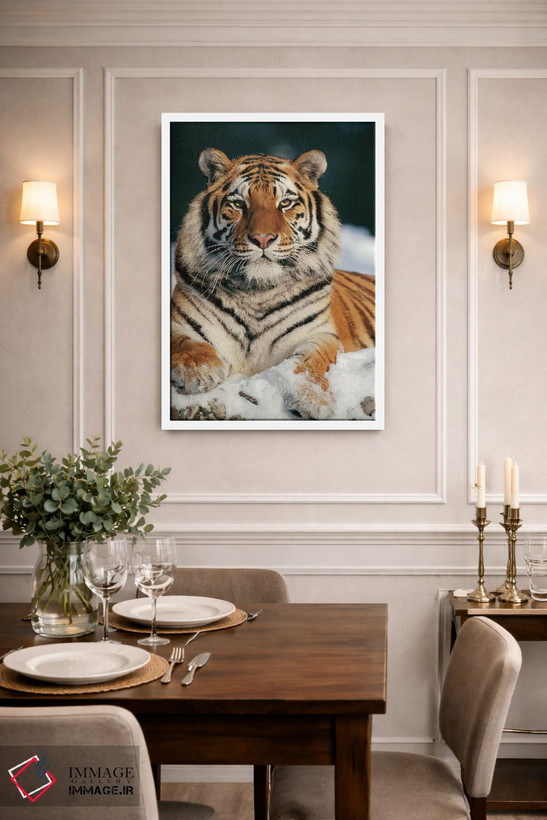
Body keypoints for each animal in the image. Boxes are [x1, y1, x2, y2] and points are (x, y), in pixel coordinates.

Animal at [171, 147, 375, 419]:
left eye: (285, 203)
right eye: (239, 204)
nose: (262, 238)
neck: (257, 290)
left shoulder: (319, 334)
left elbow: (311, 363)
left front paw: (313, 400)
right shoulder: (178, 320)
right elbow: (183, 341)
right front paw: (199, 371)